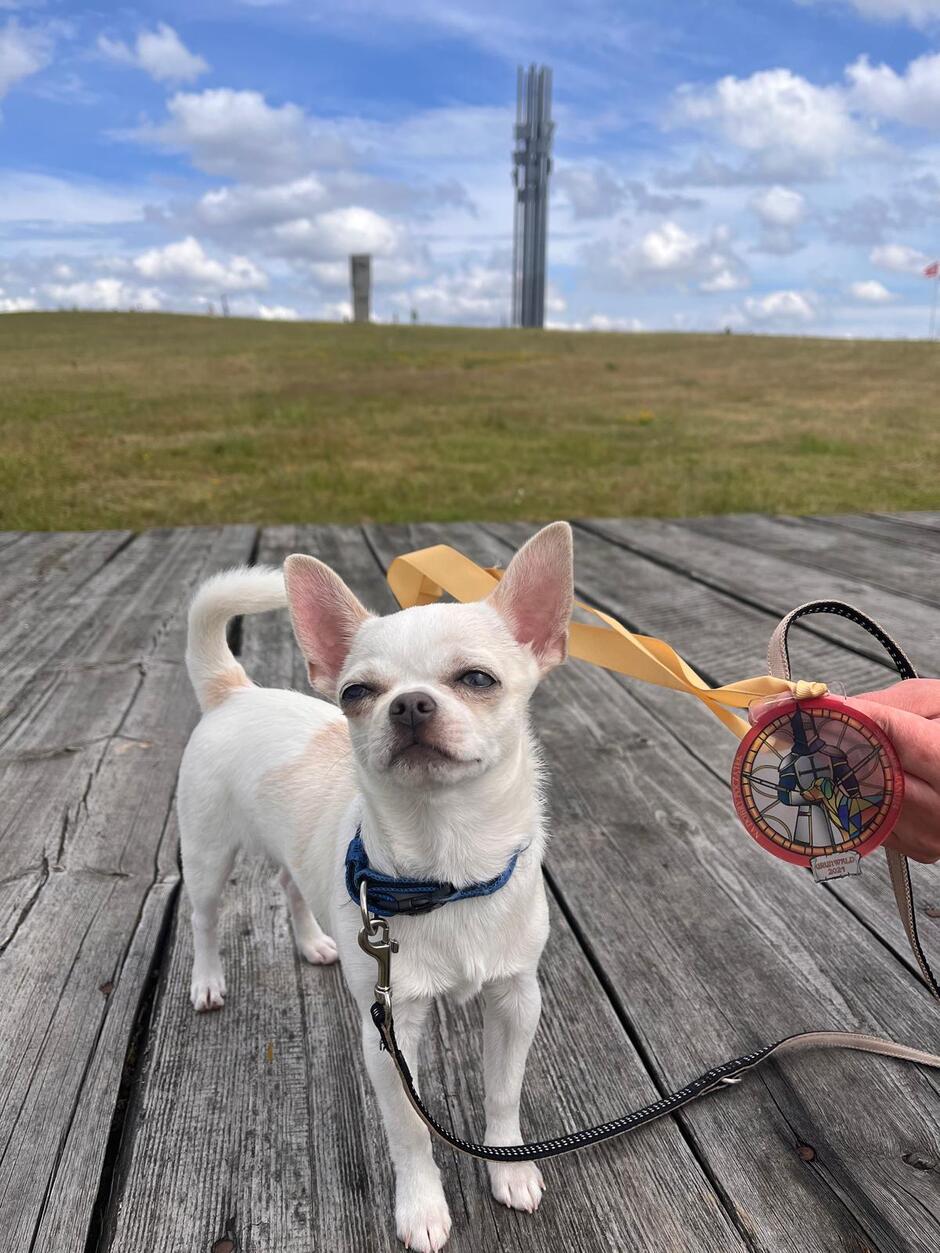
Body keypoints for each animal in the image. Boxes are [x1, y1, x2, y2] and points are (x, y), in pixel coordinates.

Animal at [176, 516, 574, 1242]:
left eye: (477, 678)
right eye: (356, 693)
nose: (411, 703)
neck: (448, 868)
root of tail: (235, 689)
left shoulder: (515, 999)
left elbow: (503, 1091)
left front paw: (508, 1167)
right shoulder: (389, 1031)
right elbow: (410, 1131)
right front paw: (422, 1208)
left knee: (293, 886)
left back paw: (314, 942)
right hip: (209, 855)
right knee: (205, 918)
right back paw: (209, 979)